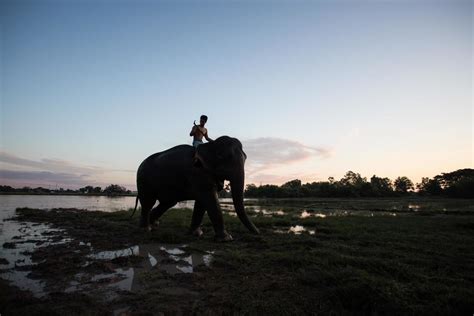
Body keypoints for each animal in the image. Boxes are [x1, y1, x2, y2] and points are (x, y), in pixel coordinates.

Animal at [132, 135, 260, 241]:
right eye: (221, 156)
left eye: (245, 158)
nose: (258, 233)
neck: (210, 145)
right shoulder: (197, 173)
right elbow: (209, 199)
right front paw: (226, 239)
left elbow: (202, 203)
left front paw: (196, 234)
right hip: (143, 180)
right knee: (148, 202)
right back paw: (145, 229)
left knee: (167, 203)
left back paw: (153, 224)